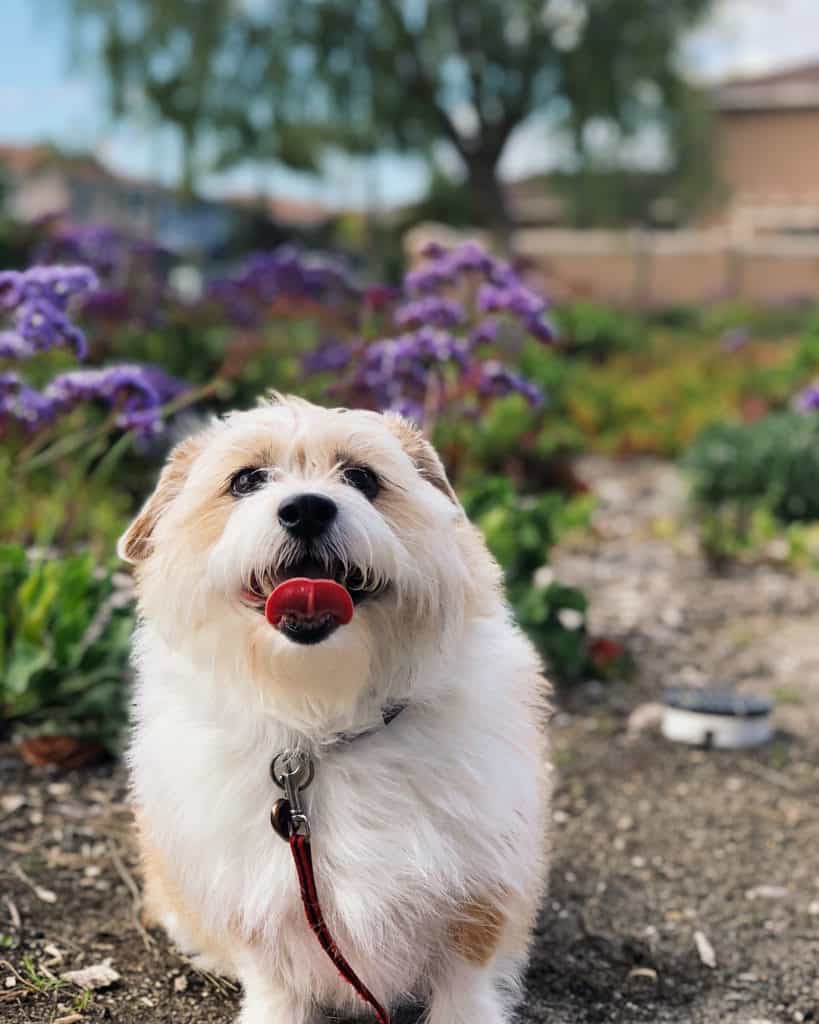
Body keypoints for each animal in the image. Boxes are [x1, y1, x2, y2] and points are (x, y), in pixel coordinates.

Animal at [118, 395, 548, 1019]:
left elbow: (464, 983)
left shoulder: (478, 892)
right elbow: (274, 981)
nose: (305, 509)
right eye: (246, 480)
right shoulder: (260, 901)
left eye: (362, 478)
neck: (322, 722)